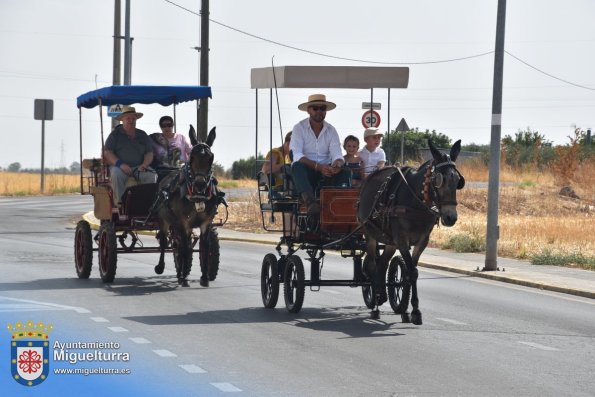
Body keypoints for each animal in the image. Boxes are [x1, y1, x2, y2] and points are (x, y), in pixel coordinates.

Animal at [152, 126, 222, 284]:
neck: (197, 196)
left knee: (178, 245)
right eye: (191, 157)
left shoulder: (206, 222)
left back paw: (180, 272)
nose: (200, 184)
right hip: (164, 220)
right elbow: (184, 248)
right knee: (166, 243)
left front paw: (204, 277)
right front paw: (184, 278)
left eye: (211, 157)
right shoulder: (184, 222)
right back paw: (163, 267)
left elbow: (204, 247)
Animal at [358, 138, 466, 322]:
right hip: (370, 234)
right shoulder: (402, 240)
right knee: (372, 265)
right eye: (439, 179)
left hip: (390, 241)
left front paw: (407, 309)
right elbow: (412, 271)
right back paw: (375, 305)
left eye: (458, 180)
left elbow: (410, 273)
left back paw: (381, 295)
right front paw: (414, 310)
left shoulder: (422, 241)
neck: (417, 202)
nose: (450, 217)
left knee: (382, 264)